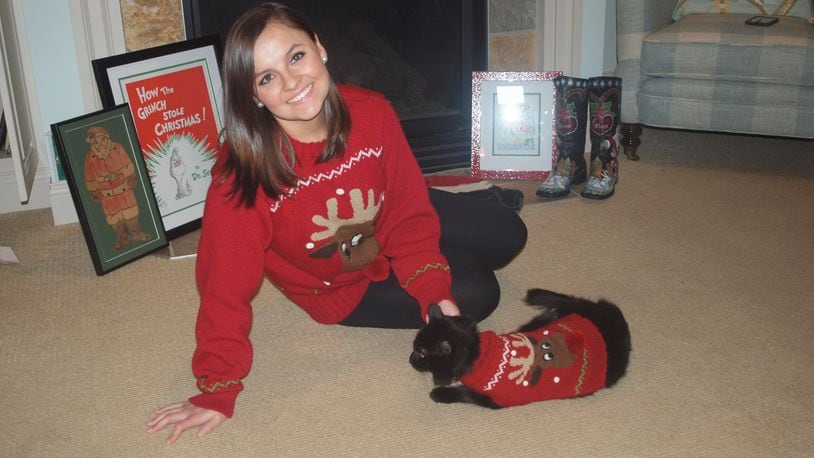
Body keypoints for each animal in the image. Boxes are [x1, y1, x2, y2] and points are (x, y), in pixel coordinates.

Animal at [412, 288, 636, 410]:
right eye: (415, 349)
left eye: (421, 353)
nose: (410, 358)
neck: (479, 354)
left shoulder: (494, 400)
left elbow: (464, 393)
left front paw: (440, 393)